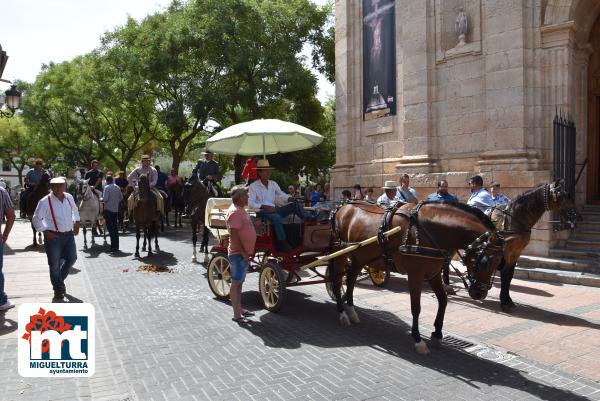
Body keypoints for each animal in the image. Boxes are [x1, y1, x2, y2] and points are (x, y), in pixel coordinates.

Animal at [328, 200, 506, 354]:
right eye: (484, 261)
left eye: (499, 263)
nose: (479, 293)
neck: (429, 230)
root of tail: (342, 207)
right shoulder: (415, 275)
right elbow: (416, 308)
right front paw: (418, 340)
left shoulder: (434, 274)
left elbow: (443, 301)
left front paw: (437, 334)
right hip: (340, 253)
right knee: (337, 281)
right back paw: (342, 313)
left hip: (359, 257)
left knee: (351, 279)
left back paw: (351, 310)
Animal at [490, 179, 580, 312]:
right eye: (561, 196)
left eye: (567, 195)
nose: (577, 217)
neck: (514, 220)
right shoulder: (507, 251)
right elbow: (505, 274)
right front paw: (504, 302)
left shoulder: (516, 252)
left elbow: (509, 274)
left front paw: (507, 300)